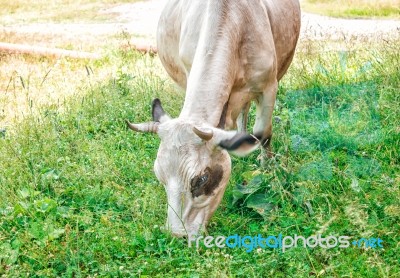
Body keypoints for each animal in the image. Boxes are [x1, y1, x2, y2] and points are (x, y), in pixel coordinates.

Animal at [127, 0, 300, 238]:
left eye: (201, 179)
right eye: (159, 176)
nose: (177, 234)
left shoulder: (268, 86)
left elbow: (263, 133)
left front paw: (267, 173)